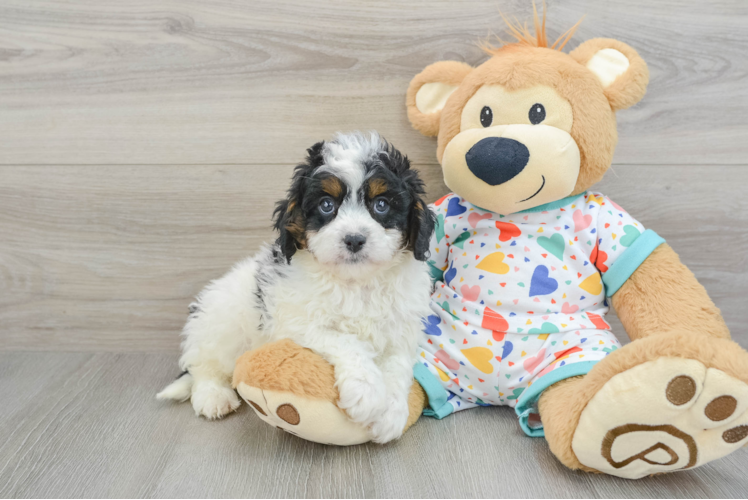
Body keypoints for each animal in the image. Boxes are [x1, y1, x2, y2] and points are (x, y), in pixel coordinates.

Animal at [161, 132, 436, 442]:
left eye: (382, 205)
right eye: (326, 205)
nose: (354, 239)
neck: (356, 282)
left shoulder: (402, 328)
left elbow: (398, 363)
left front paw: (392, 413)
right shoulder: (294, 323)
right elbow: (345, 341)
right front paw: (366, 392)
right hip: (221, 323)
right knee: (204, 366)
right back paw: (213, 396)